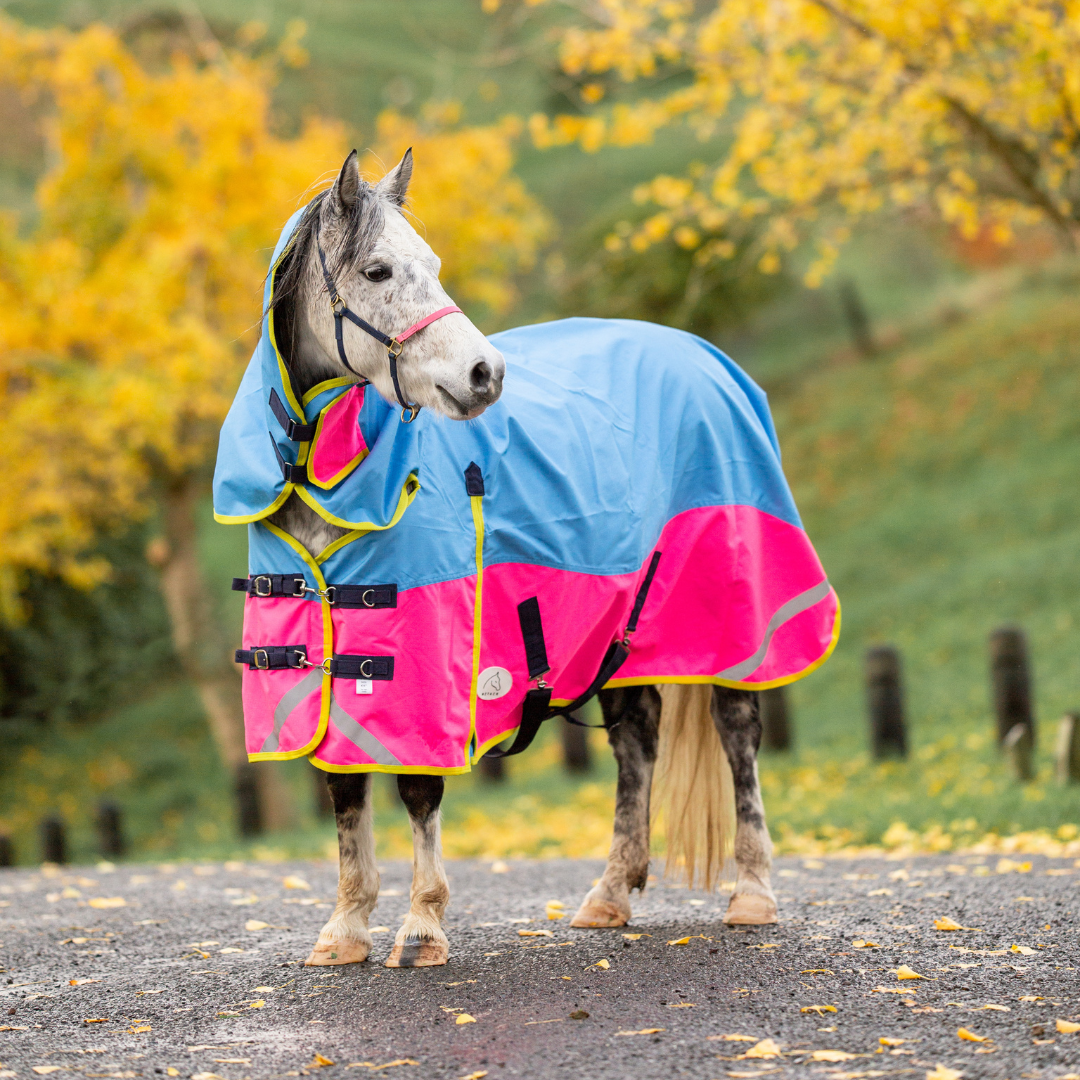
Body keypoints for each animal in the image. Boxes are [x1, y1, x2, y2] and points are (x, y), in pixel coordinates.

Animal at [215, 150, 836, 969]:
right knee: (636, 738)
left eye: (433, 265)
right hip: (624, 627)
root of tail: (706, 357)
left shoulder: (423, 669)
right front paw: (345, 929)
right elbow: (345, 794)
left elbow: (418, 792)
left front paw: (422, 927)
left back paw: (753, 893)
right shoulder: (321, 669)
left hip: (732, 615)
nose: (486, 374)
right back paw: (609, 894)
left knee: (737, 729)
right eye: (378, 271)